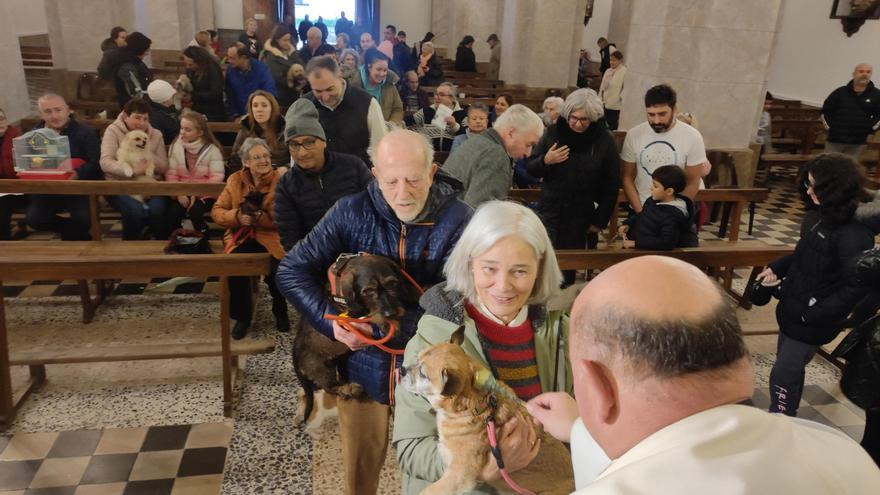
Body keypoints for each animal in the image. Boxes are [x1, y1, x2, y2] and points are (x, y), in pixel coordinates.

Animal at [292, 254, 422, 432]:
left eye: (392, 284)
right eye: (368, 291)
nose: (390, 313)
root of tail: (295, 357)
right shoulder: (353, 313)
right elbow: (372, 314)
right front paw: (388, 323)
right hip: (322, 368)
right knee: (329, 387)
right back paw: (348, 388)